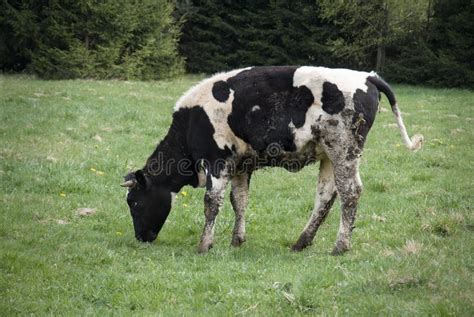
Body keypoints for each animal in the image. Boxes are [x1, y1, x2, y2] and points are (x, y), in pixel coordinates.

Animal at [121, 66, 422, 254]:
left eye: (134, 202)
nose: (140, 238)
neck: (191, 123)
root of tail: (368, 76)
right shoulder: (240, 164)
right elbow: (239, 201)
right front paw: (237, 240)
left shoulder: (217, 160)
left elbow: (212, 203)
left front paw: (204, 244)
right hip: (328, 155)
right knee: (325, 196)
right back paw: (302, 242)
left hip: (344, 148)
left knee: (350, 192)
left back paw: (340, 246)